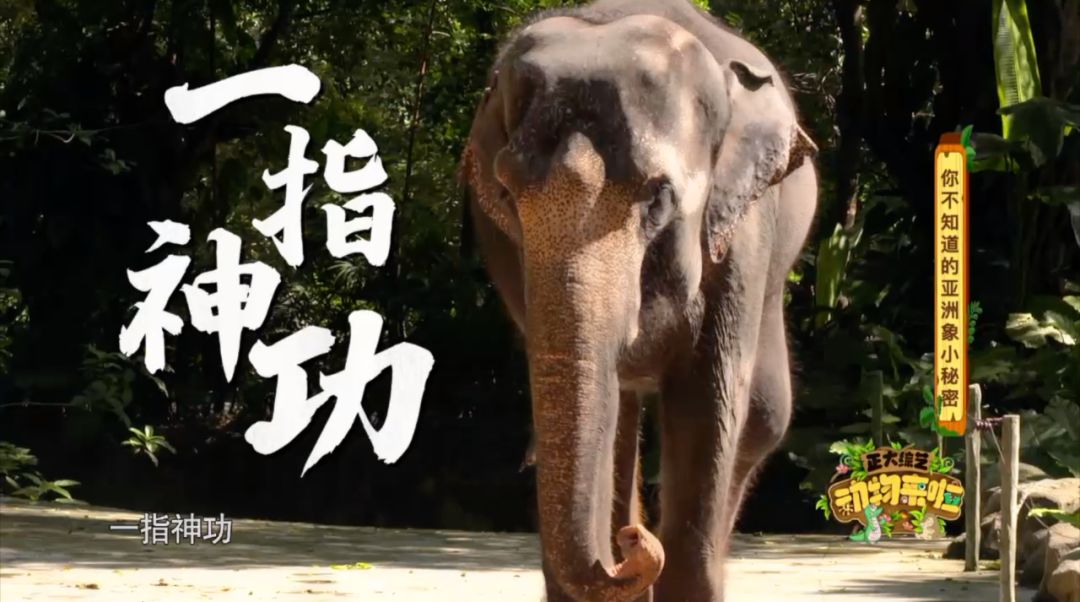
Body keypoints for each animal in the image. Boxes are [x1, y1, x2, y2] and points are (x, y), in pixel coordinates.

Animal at [458, 1, 818, 600]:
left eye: (659, 197)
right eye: (506, 193)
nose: (630, 542)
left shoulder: (741, 240)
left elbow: (708, 402)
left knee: (764, 416)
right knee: (623, 412)